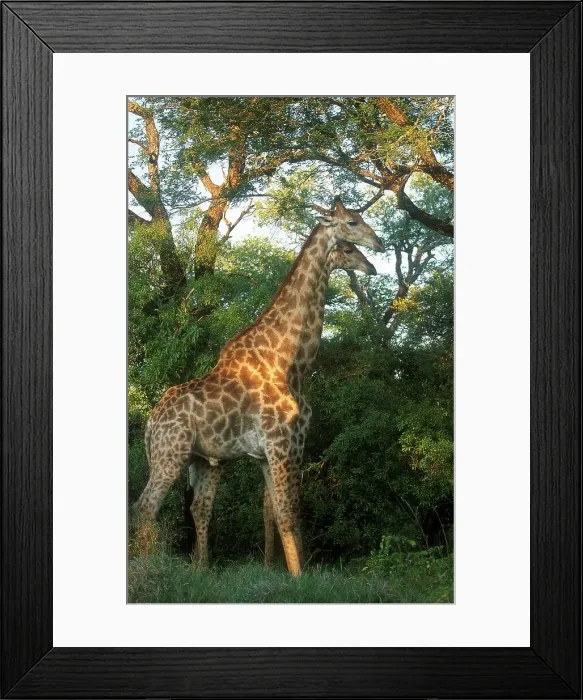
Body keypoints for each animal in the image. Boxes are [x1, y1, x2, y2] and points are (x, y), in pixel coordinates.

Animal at [135, 198, 384, 576]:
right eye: (351, 230)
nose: (376, 254)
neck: (289, 363)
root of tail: (150, 421)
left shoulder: (280, 449)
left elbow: (279, 512)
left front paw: (284, 570)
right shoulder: (281, 443)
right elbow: (287, 512)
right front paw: (298, 577)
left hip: (204, 460)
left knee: (198, 508)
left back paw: (201, 571)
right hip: (170, 453)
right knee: (146, 505)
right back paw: (148, 571)